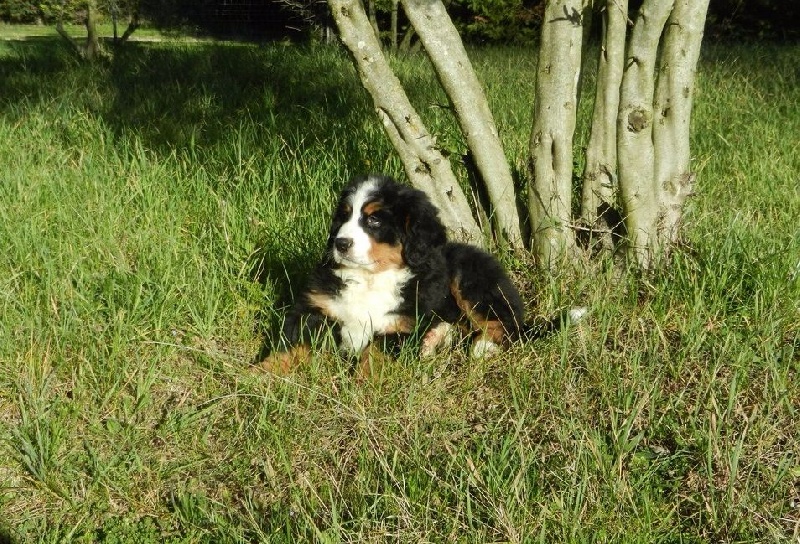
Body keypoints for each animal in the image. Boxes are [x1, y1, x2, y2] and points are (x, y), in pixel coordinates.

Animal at [259, 174, 583, 377]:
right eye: (344, 215)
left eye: (374, 220)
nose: (341, 243)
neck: (371, 278)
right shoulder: (313, 309)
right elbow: (290, 347)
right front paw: (259, 375)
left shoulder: (404, 326)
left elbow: (374, 352)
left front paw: (362, 384)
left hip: (470, 279)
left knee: (505, 325)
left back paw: (481, 347)